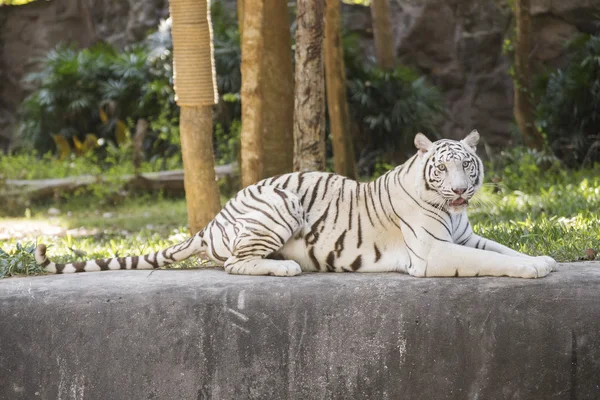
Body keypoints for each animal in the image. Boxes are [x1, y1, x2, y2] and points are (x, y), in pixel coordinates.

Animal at [35, 130, 556, 278]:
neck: (453, 212)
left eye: (468, 166)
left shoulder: (467, 235)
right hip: (280, 202)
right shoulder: (434, 252)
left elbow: (502, 249)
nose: (461, 191)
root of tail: (212, 220)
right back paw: (286, 267)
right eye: (443, 170)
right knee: (236, 264)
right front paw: (532, 270)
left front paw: (543, 259)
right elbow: (491, 262)